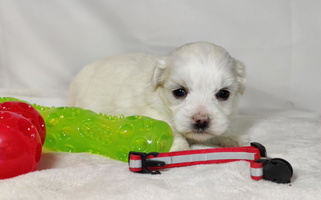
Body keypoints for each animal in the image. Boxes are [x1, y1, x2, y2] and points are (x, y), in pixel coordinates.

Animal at [69, 42, 245, 151]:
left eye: (224, 94)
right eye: (179, 92)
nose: (201, 121)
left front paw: (238, 139)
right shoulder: (152, 115)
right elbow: (174, 134)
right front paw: (179, 149)